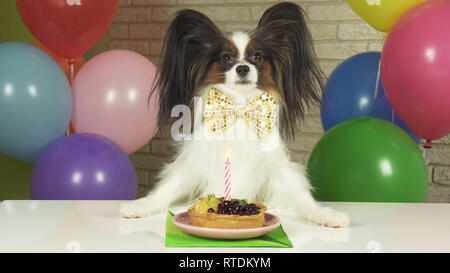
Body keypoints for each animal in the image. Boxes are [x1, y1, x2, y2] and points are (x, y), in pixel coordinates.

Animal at [118, 2, 348, 226]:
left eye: (257, 56)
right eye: (226, 58)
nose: (243, 68)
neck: (239, 105)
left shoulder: (277, 168)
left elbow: (301, 196)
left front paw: (325, 215)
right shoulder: (194, 163)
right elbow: (168, 188)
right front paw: (139, 206)